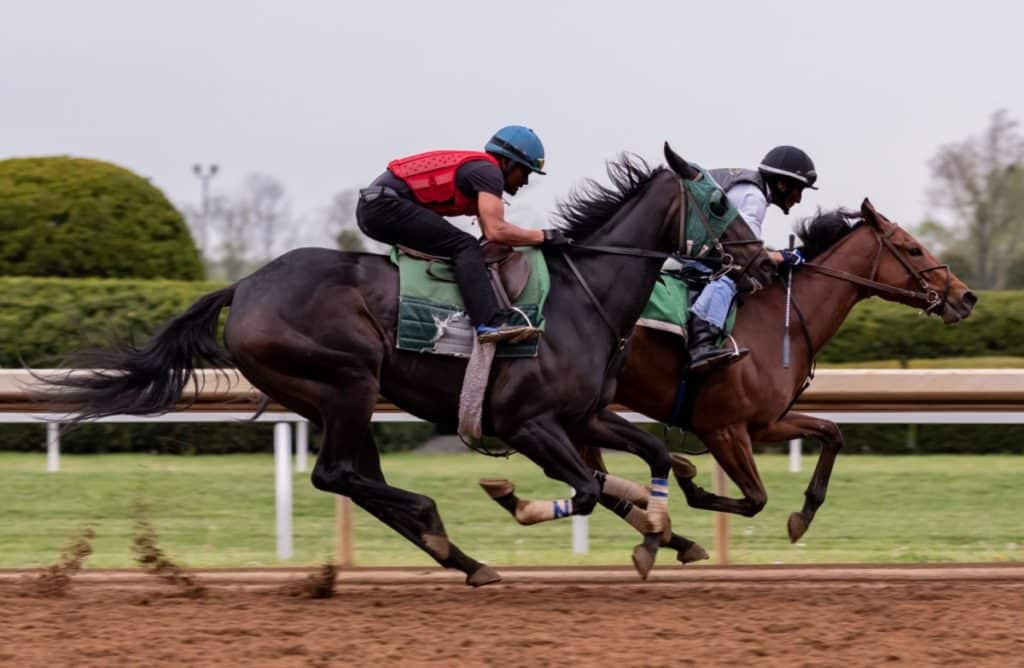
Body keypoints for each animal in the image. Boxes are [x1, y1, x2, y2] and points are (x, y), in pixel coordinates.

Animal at [39, 144, 770, 586]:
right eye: (720, 203)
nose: (763, 262)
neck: (580, 296)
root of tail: (242, 287)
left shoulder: (583, 414)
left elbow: (648, 456)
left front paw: (665, 531)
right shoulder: (527, 422)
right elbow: (588, 488)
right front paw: (522, 501)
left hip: (339, 398)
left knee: (359, 479)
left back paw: (463, 557)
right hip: (347, 381)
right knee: (338, 474)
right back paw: (436, 521)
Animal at [585, 196, 974, 549]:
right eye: (913, 250)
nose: (967, 297)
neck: (781, 324)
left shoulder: (765, 423)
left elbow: (831, 432)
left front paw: (803, 516)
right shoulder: (723, 429)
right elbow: (754, 499)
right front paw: (687, 479)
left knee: (598, 480)